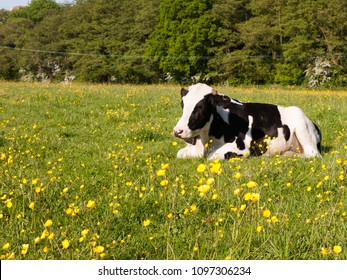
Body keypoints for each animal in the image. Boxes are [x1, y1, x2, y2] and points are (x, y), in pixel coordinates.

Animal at [174, 83, 324, 160]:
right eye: (182, 105)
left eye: (201, 107)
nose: (178, 131)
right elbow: (179, 153)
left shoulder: (241, 148)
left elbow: (212, 157)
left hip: (302, 127)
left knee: (312, 155)